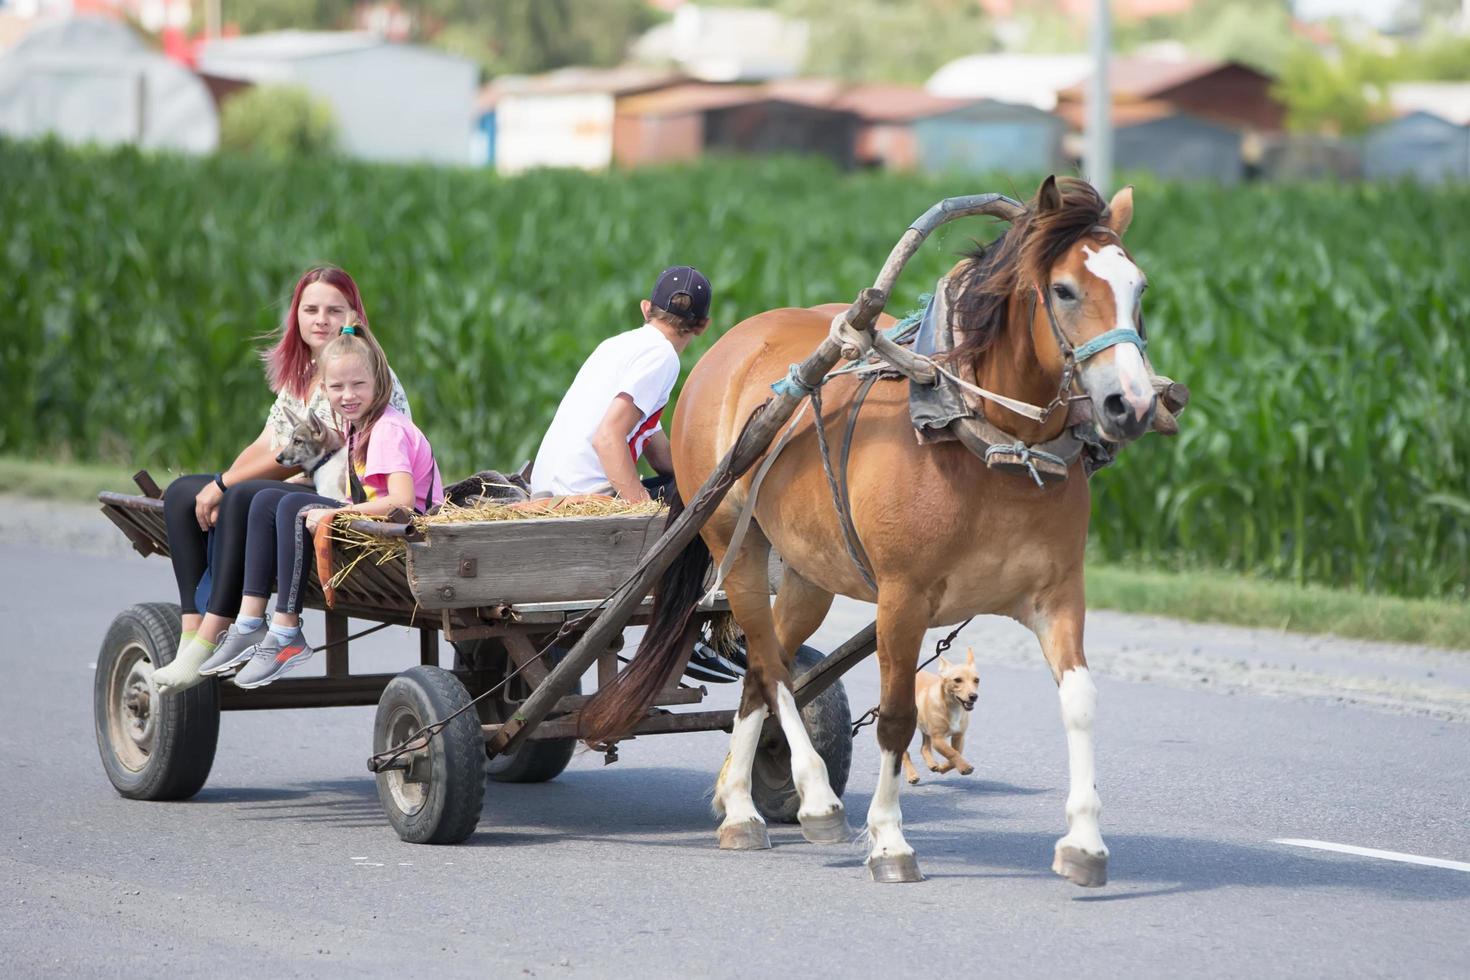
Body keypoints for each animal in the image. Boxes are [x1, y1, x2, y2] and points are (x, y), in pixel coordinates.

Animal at [899, 646, 981, 787]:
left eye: (976, 680)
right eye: (957, 680)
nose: (973, 696)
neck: (953, 707)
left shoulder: (959, 737)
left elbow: (956, 753)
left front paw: (943, 768)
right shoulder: (938, 740)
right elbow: (952, 753)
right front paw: (965, 767)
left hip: (925, 729)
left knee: (924, 748)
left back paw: (932, 764)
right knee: (905, 753)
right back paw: (912, 775)